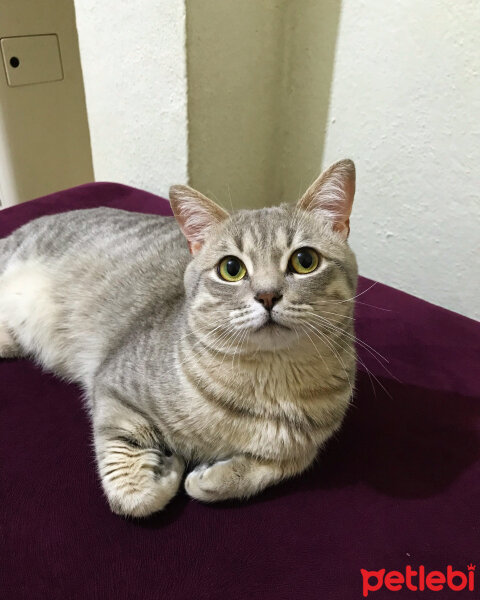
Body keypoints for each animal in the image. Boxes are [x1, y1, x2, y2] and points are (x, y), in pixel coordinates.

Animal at [0, 158, 356, 516]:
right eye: (231, 268)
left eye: (305, 260)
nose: (268, 295)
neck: (270, 384)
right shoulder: (112, 389)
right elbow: (134, 493)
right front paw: (167, 469)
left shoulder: (305, 447)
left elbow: (281, 465)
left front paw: (211, 477)